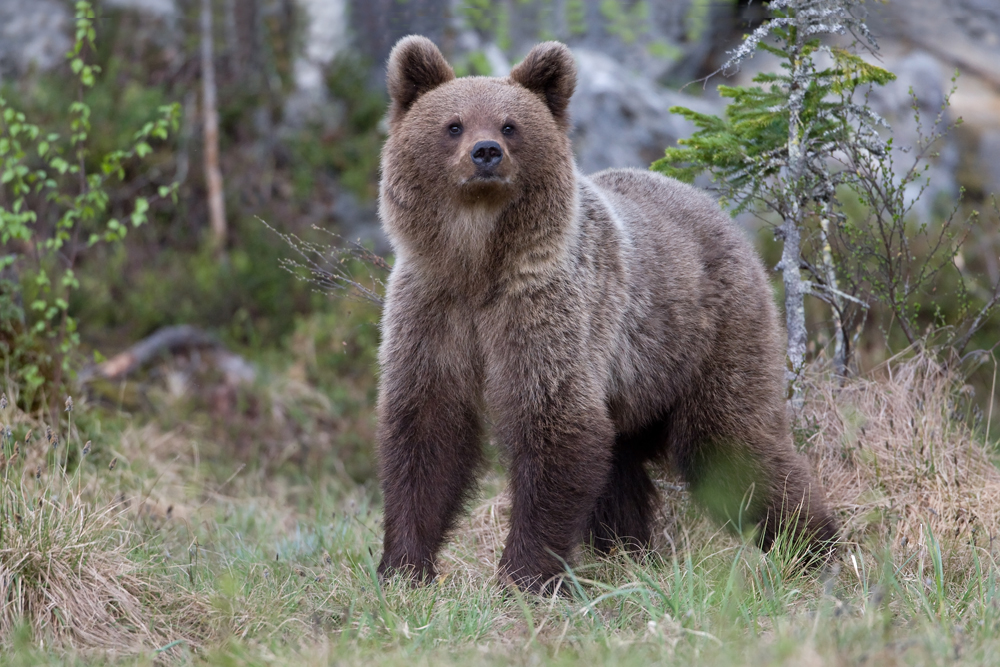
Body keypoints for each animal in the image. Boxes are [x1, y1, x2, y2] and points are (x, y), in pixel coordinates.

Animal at [374, 36, 836, 592]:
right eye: (454, 124)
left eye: (510, 125)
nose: (486, 153)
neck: (479, 265)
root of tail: (720, 214)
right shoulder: (433, 309)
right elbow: (426, 430)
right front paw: (403, 568)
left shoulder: (550, 308)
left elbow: (555, 425)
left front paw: (523, 575)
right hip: (637, 383)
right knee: (623, 470)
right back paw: (630, 552)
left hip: (712, 336)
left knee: (732, 446)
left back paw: (814, 547)